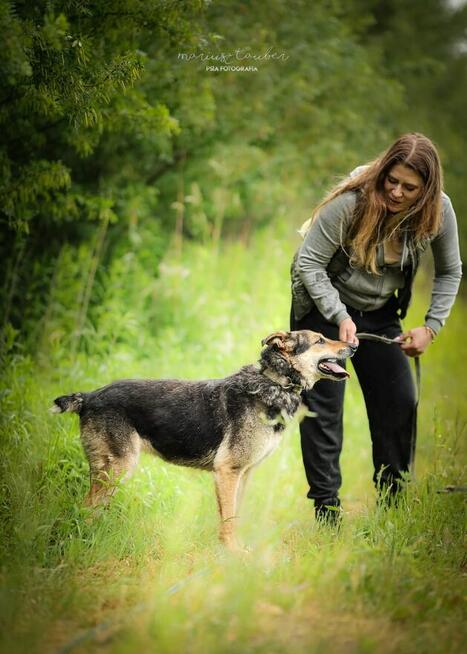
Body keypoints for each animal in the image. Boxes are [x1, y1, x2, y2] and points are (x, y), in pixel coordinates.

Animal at [51, 330, 356, 552]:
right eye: (320, 340)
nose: (354, 345)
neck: (274, 383)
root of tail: (89, 396)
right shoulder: (228, 471)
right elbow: (230, 518)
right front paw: (234, 553)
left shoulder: (241, 474)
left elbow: (233, 514)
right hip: (117, 469)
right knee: (86, 508)